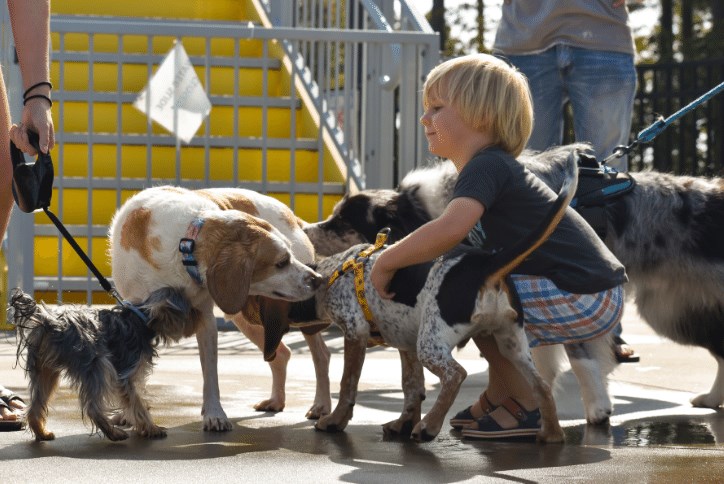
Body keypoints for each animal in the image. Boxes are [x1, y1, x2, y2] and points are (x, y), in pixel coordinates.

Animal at [9, 288, 201, 442]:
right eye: (189, 310)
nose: (199, 313)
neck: (141, 320)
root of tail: (49, 322)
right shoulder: (126, 373)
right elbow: (136, 402)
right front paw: (151, 428)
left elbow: (135, 401)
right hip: (96, 362)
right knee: (93, 407)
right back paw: (114, 433)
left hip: (44, 369)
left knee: (36, 403)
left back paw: (42, 433)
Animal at [110, 186, 328, 432]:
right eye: (281, 262)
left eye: (289, 256)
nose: (318, 279)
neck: (184, 244)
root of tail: (290, 213)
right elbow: (136, 374)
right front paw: (128, 414)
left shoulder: (206, 319)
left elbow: (210, 373)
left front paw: (215, 415)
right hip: (243, 316)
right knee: (282, 353)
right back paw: (276, 400)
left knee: (322, 355)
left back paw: (321, 406)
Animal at [306, 144, 724, 412]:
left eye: (341, 222)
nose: (306, 229)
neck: (424, 212)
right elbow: (542, 359)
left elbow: (579, 357)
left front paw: (594, 409)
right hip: (673, 310)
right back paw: (710, 400)